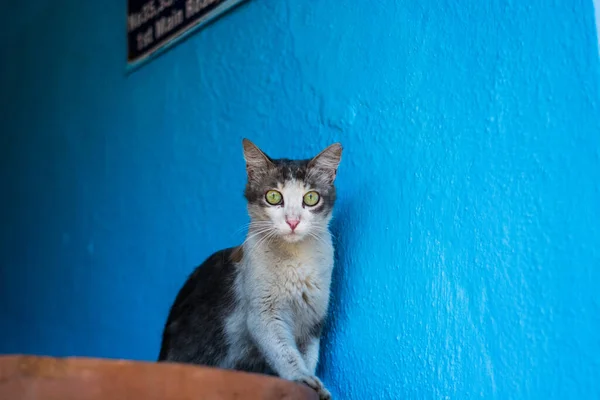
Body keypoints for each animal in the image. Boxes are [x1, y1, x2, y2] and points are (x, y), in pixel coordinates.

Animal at [157, 138, 342, 400]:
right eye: (273, 196)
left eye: (311, 198)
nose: (293, 221)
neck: (295, 261)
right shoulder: (263, 313)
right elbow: (285, 353)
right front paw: (302, 379)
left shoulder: (313, 322)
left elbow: (309, 357)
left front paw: (315, 386)